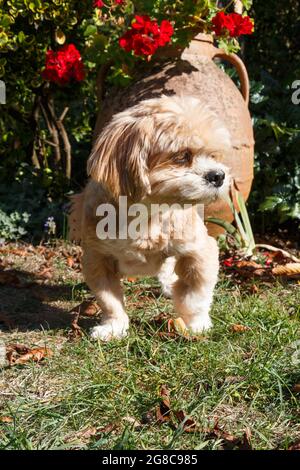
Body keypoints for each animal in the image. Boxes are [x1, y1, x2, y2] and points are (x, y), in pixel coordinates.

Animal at [71, 93, 231, 340]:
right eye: (182, 156)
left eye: (213, 155)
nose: (218, 175)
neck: (146, 217)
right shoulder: (97, 259)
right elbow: (109, 300)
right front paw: (114, 327)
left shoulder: (200, 251)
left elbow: (195, 295)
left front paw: (196, 324)